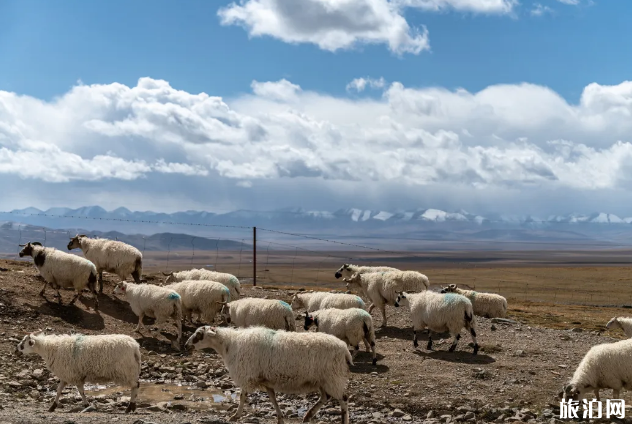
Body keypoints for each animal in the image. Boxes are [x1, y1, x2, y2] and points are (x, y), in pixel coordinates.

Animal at [185, 326, 354, 422]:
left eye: (199, 334)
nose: (186, 345)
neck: (230, 344)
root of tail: (345, 349)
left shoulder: (248, 374)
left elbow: (242, 396)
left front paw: (235, 415)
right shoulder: (265, 380)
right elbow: (273, 399)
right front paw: (280, 418)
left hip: (333, 377)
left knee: (344, 399)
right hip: (323, 379)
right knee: (325, 397)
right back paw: (308, 416)